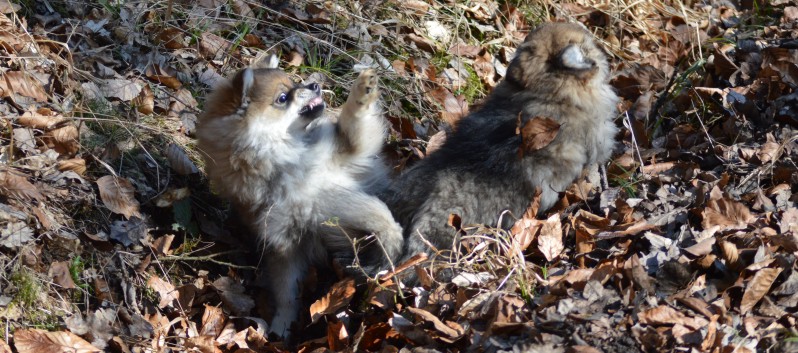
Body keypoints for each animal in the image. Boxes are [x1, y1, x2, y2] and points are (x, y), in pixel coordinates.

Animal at [197, 56, 404, 340]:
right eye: (283, 97)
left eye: (295, 82)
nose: (314, 84)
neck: (285, 159)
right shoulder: (285, 244)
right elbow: (287, 291)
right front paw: (282, 323)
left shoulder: (349, 152)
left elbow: (355, 121)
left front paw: (363, 90)